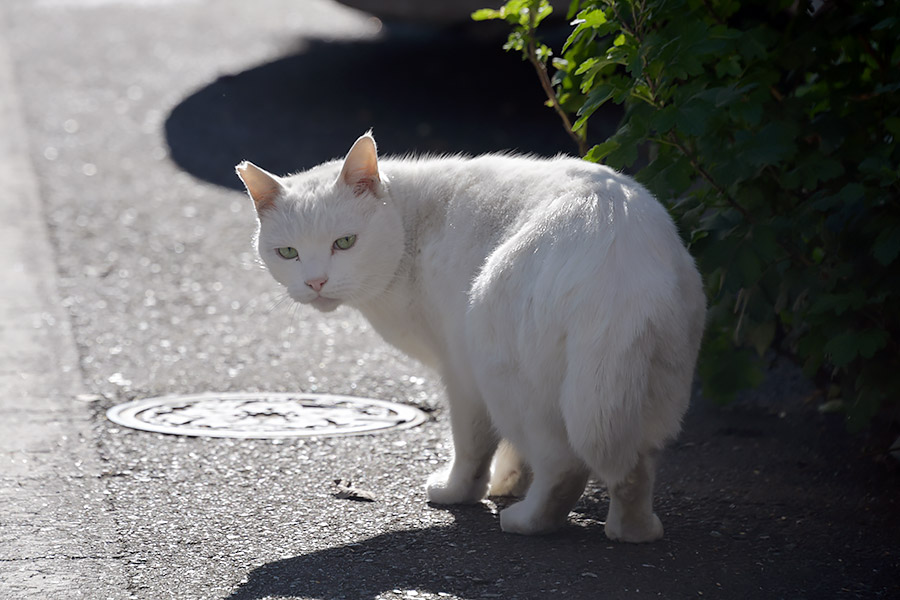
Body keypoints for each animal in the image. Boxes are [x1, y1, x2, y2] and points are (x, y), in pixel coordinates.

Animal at [236, 134, 708, 540]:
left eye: (345, 242)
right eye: (288, 253)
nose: (315, 282)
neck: (410, 227)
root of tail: (613, 249)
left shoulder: (459, 372)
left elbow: (472, 445)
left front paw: (458, 492)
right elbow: (512, 451)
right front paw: (509, 481)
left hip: (502, 371)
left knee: (565, 465)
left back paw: (527, 521)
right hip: (649, 390)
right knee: (632, 469)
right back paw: (634, 530)